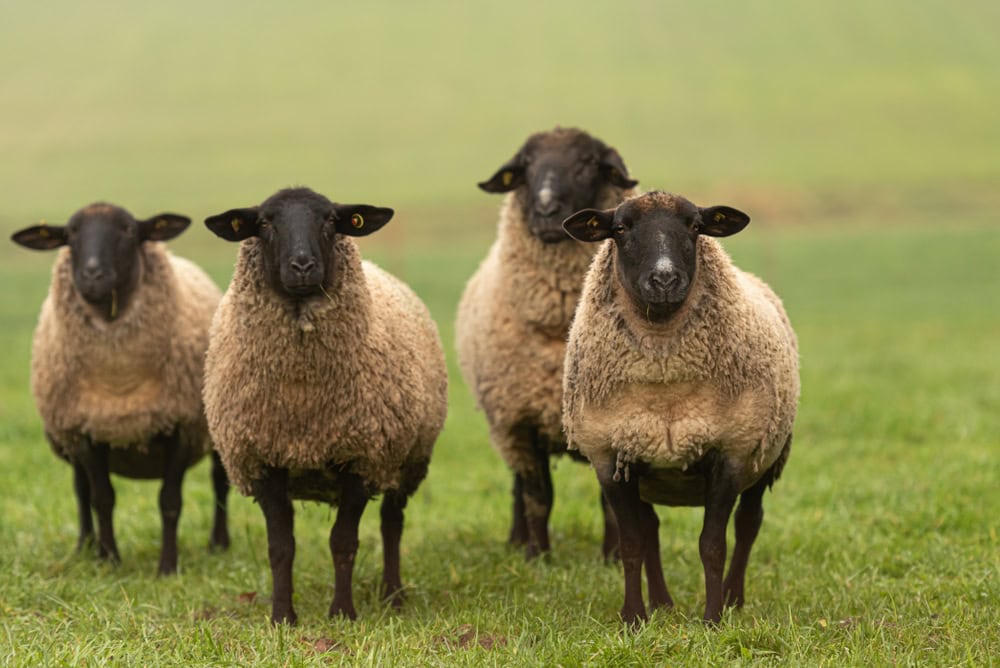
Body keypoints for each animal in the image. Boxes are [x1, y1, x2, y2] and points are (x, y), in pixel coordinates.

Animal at [10, 203, 230, 575]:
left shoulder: (181, 427)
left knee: (220, 481)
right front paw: (108, 560)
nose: (92, 275)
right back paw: (85, 547)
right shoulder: (85, 430)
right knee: (81, 489)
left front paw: (167, 567)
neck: (119, 383)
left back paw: (219, 544)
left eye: (128, 230)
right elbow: (101, 498)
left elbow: (170, 501)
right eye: (70, 234)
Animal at [202, 187, 448, 625]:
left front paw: (343, 613)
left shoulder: (360, 458)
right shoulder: (262, 459)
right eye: (264, 223)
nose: (303, 265)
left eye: (331, 221)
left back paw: (393, 594)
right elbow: (281, 547)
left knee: (392, 523)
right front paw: (282, 617)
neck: (304, 398)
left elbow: (343, 542)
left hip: (406, 459)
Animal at [455, 127, 639, 559]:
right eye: (525, 167)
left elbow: (612, 503)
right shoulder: (518, 423)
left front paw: (614, 557)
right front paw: (537, 556)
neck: (560, 334)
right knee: (519, 488)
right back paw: (516, 541)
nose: (546, 209)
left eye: (587, 163)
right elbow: (538, 495)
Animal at [561, 191, 799, 624]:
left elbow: (713, 544)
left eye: (695, 226)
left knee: (748, 524)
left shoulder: (730, 453)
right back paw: (662, 603)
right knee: (650, 529)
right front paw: (633, 618)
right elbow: (633, 542)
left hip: (768, 456)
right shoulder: (610, 458)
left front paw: (713, 619)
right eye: (620, 229)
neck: (665, 385)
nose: (665, 280)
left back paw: (733, 598)